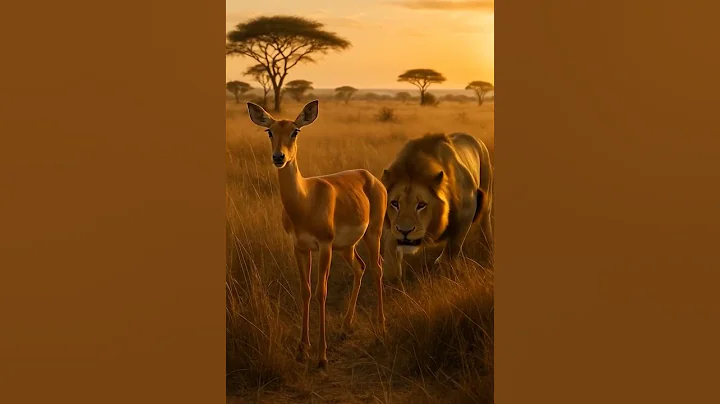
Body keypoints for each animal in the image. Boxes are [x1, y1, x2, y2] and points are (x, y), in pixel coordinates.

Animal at [245, 100, 388, 369]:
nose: (279, 157)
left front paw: (321, 356)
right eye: (270, 131)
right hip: (346, 247)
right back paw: (345, 327)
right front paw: (302, 350)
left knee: (377, 269)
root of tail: (371, 177)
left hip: (372, 234)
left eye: (295, 131)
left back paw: (380, 328)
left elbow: (322, 292)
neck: (305, 200)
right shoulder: (300, 248)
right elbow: (306, 290)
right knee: (360, 268)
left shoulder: (324, 246)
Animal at [380, 132, 493, 279]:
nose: (405, 231)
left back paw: (488, 244)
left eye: (421, 205)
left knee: (485, 221)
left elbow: (453, 246)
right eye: (395, 203)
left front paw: (443, 266)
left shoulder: (467, 213)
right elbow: (390, 247)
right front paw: (391, 274)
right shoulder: (392, 226)